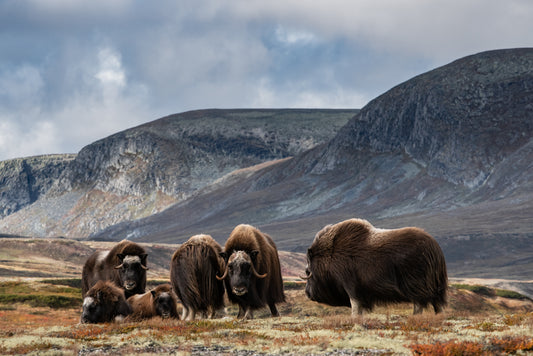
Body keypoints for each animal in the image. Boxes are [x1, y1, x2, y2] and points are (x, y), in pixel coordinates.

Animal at [302, 218, 446, 316]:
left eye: (308, 271)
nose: (307, 293)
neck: (330, 254)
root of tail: (435, 248)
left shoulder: (350, 285)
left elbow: (355, 306)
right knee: (436, 305)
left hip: (416, 286)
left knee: (420, 304)